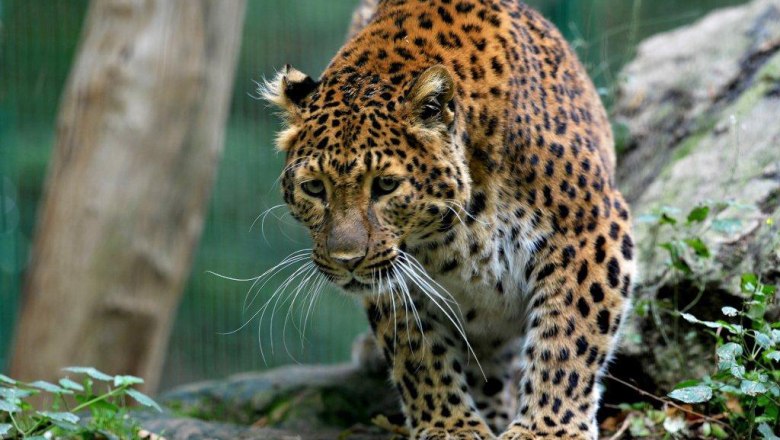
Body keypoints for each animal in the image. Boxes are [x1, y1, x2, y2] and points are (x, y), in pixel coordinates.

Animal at [261, 0, 635, 438]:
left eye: (385, 185)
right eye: (315, 188)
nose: (347, 260)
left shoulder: (587, 228)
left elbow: (569, 338)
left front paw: (547, 428)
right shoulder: (401, 275)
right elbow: (419, 355)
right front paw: (450, 426)